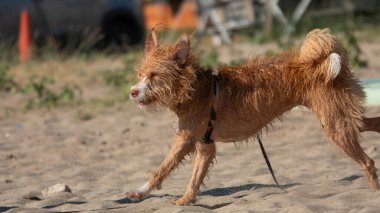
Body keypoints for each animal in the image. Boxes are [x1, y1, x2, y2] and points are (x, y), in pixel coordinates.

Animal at [126, 28, 378, 205]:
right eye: (140, 74)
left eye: (154, 75)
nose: (133, 92)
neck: (195, 88)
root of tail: (318, 61)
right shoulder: (204, 145)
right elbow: (194, 179)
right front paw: (186, 200)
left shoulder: (185, 139)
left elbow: (163, 168)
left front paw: (140, 192)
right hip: (344, 118)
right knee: (373, 123)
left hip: (336, 124)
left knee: (367, 161)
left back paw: (374, 190)